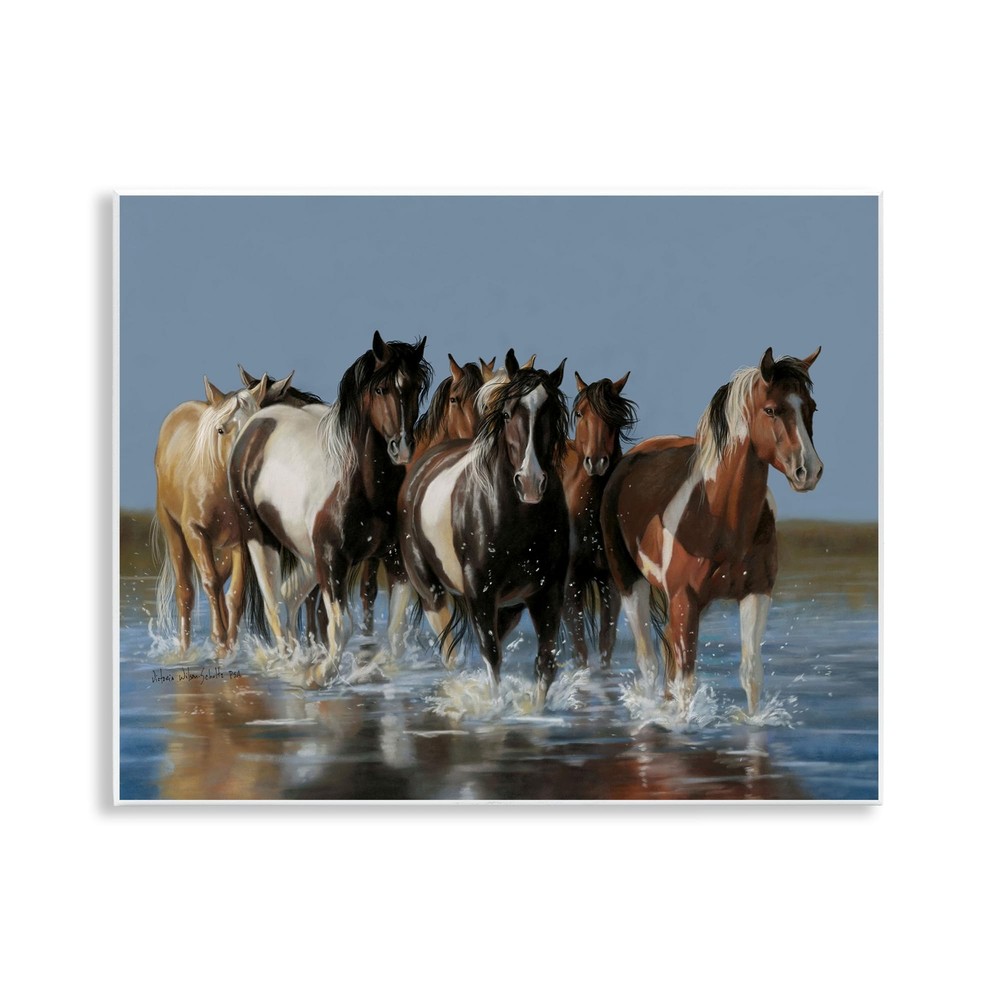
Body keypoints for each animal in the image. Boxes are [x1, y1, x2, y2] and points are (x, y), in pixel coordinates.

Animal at [153, 375, 269, 653]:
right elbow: (210, 582)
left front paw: (228, 646)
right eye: (221, 430)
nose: (242, 468)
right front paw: (219, 636)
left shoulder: (243, 540)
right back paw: (184, 651)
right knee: (185, 591)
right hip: (173, 531)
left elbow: (235, 593)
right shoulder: (195, 532)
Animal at [228, 331, 432, 685]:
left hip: (305, 555)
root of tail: (255, 426)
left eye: (416, 387)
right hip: (261, 538)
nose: (402, 447)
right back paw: (289, 665)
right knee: (275, 605)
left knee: (289, 596)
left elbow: (395, 630)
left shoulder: (395, 564)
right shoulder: (331, 562)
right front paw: (319, 674)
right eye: (380, 389)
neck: (362, 488)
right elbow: (341, 626)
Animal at [400, 349, 570, 699]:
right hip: (432, 593)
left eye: (552, 414)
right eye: (506, 414)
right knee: (450, 652)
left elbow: (545, 665)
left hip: (509, 608)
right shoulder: (481, 594)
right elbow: (491, 658)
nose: (530, 482)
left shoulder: (547, 593)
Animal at [561, 370, 637, 668]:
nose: (596, 462)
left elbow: (606, 643)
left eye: (614, 418)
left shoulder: (610, 583)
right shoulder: (570, 585)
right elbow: (580, 648)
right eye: (580, 413)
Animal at [601, 347, 823, 715]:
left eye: (811, 408)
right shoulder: (685, 601)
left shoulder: (756, 593)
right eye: (771, 409)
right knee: (649, 662)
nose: (809, 471)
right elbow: (687, 681)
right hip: (630, 583)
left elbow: (751, 674)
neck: (722, 520)